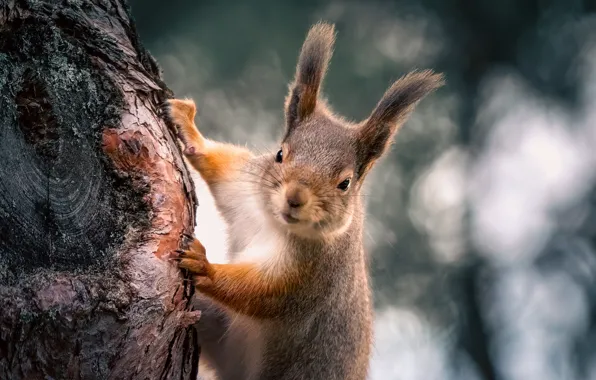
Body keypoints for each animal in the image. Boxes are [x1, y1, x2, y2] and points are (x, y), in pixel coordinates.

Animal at [164, 21, 442, 380]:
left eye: (345, 183)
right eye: (280, 154)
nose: (294, 198)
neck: (275, 224)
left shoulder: (312, 277)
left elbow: (263, 293)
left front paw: (205, 266)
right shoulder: (245, 189)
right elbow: (224, 170)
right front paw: (189, 130)